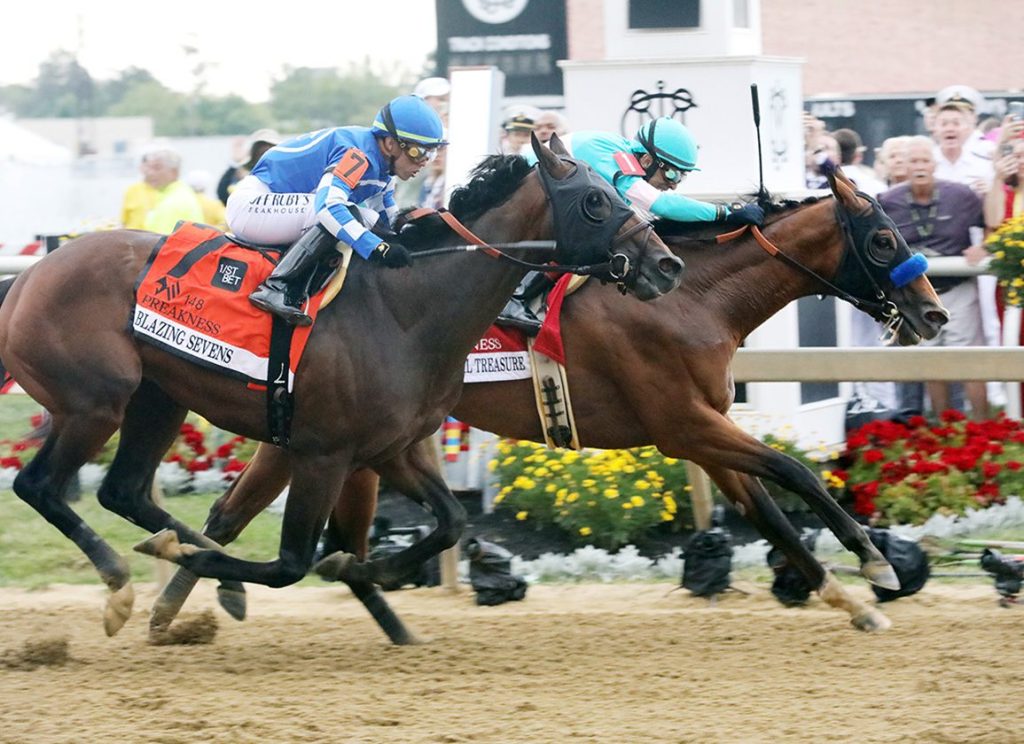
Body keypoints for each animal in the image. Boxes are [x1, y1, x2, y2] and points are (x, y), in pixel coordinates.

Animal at [0, 136, 684, 637]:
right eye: (595, 201)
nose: (667, 264)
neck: (404, 309)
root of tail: (31, 273)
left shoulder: (388, 449)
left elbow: (450, 520)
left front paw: (377, 569)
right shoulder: (323, 453)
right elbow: (291, 563)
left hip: (158, 399)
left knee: (125, 492)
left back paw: (185, 562)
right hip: (96, 402)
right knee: (39, 485)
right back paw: (123, 582)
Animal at [153, 163, 949, 641]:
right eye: (883, 239)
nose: (935, 313)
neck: (694, 295)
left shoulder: (701, 429)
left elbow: (770, 513)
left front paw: (847, 600)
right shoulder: (683, 424)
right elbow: (798, 474)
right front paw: (875, 567)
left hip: (336, 440)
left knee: (234, 516)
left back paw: (180, 600)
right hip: (338, 440)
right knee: (245, 519)